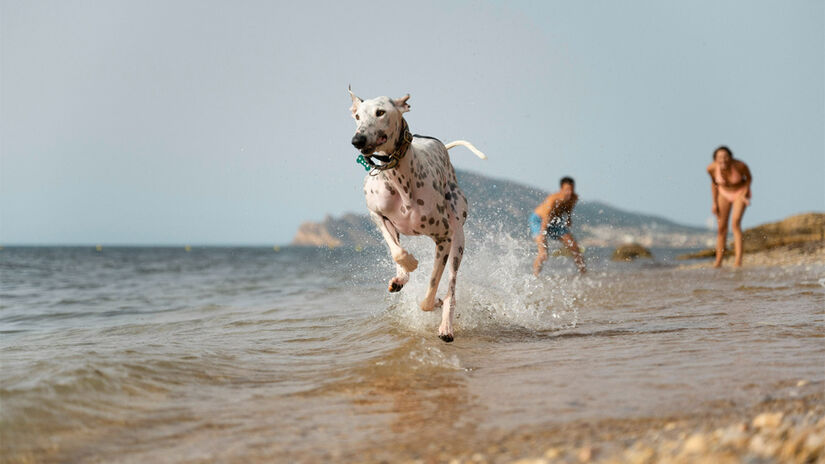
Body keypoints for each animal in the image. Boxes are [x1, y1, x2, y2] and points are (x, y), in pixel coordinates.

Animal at [346, 87, 486, 340]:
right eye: (358, 116)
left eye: (380, 112)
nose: (357, 140)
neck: (398, 177)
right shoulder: (377, 215)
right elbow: (398, 252)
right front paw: (409, 265)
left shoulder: (444, 237)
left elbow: (430, 293)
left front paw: (435, 301)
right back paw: (401, 278)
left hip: (458, 238)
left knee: (451, 287)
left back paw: (446, 324)